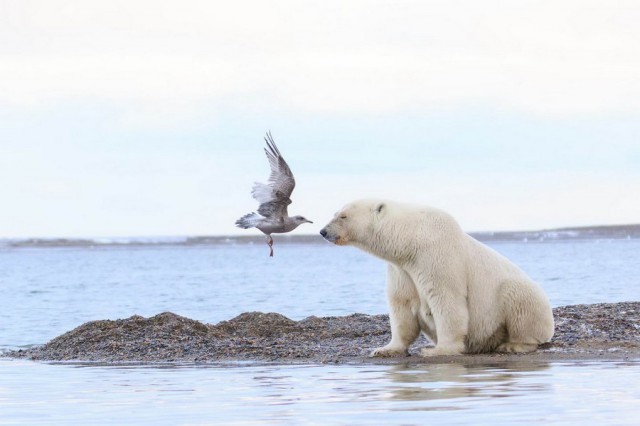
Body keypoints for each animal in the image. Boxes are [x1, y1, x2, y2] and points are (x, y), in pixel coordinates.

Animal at [322, 200, 552, 356]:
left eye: (343, 216)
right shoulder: (401, 270)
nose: (323, 231)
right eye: (335, 213)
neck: (410, 241)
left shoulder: (437, 257)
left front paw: (438, 350)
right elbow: (402, 306)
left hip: (522, 297)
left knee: (518, 301)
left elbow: (446, 301)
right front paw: (384, 349)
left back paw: (513, 344)